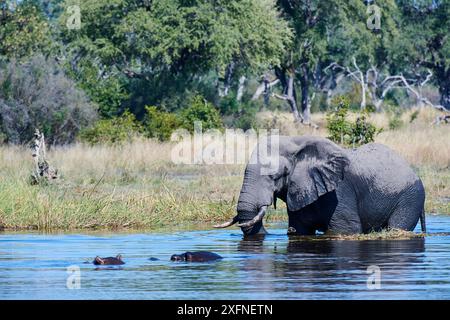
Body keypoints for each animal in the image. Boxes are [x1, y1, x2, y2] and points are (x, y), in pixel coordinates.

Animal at [214, 135, 426, 235]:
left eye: (275, 176)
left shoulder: (340, 191)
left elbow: (346, 230)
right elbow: (299, 230)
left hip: (410, 198)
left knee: (398, 227)